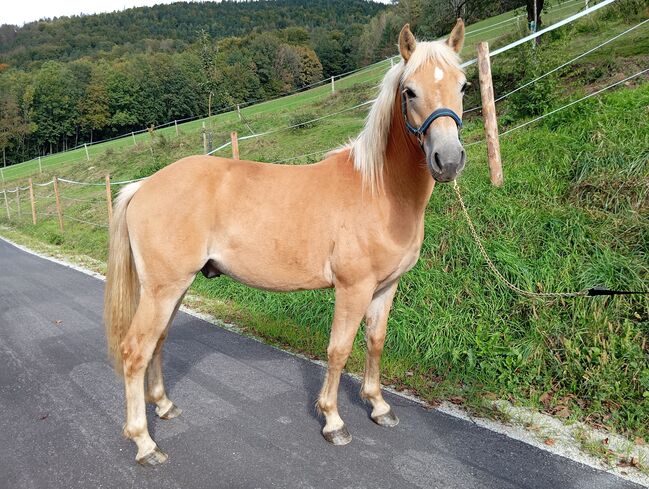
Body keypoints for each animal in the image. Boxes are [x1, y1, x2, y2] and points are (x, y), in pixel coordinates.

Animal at [105, 20, 466, 466]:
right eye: (410, 91)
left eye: (464, 85)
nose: (448, 160)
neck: (378, 189)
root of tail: (142, 186)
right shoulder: (353, 288)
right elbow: (338, 349)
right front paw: (333, 421)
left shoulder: (386, 287)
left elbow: (375, 342)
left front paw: (378, 405)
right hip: (162, 289)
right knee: (135, 350)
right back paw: (144, 442)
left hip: (173, 289)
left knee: (157, 343)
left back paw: (165, 406)